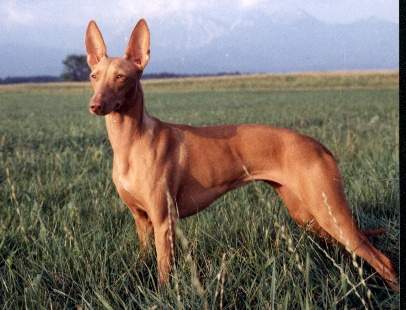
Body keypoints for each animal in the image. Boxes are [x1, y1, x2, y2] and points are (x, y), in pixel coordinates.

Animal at [84, 18, 398, 290]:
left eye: (121, 77)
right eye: (94, 76)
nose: (95, 105)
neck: (131, 142)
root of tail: (319, 145)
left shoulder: (164, 222)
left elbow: (164, 273)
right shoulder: (142, 221)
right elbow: (144, 259)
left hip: (329, 213)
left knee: (383, 260)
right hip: (308, 215)